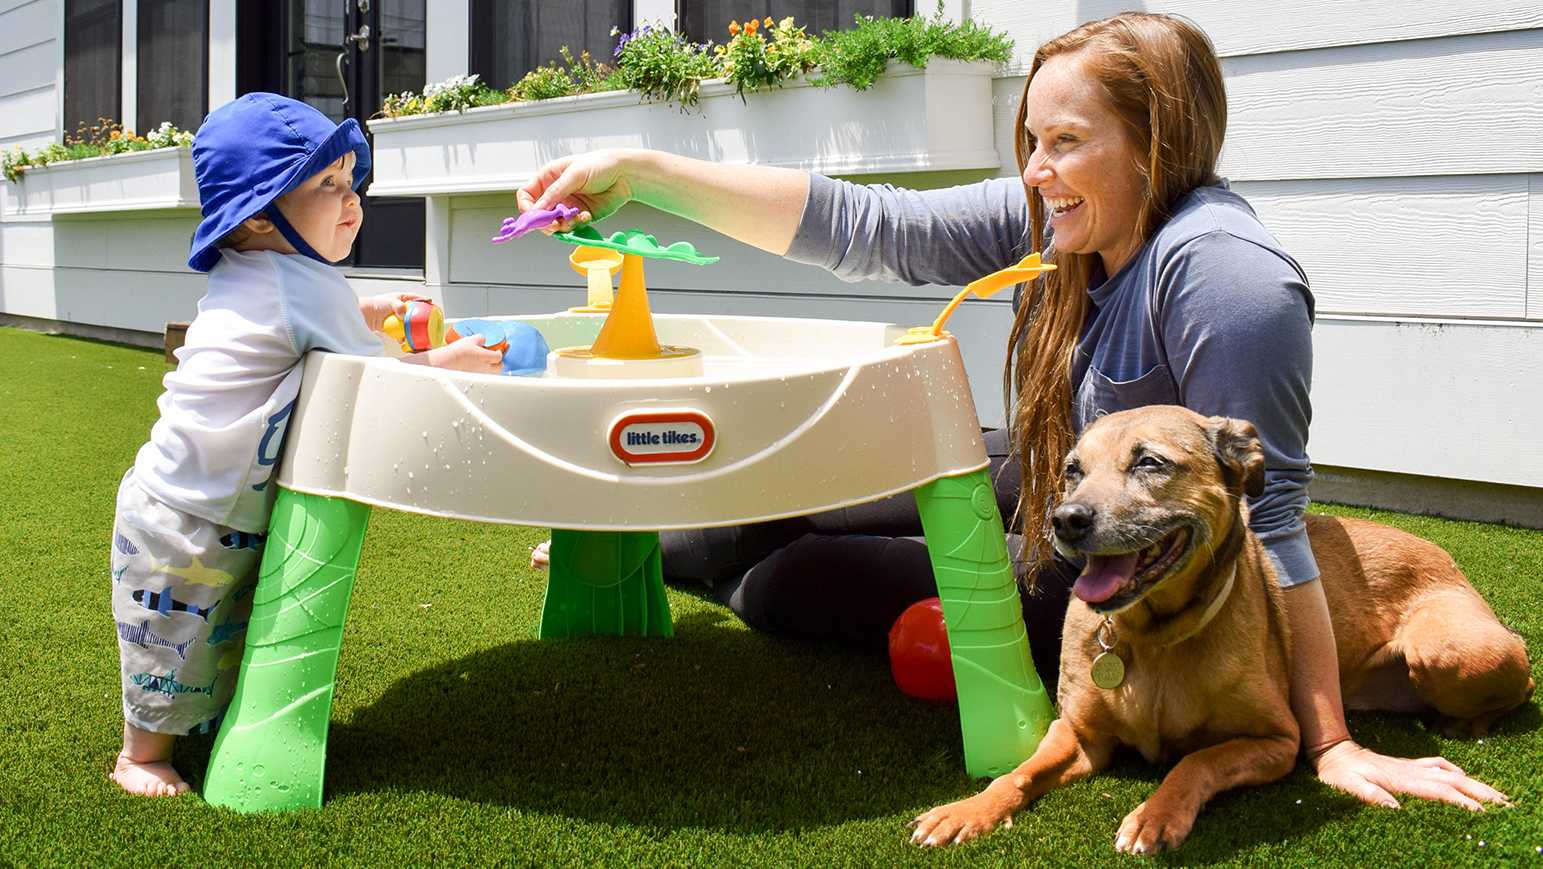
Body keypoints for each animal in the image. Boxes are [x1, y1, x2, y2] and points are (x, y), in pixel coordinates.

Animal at [907, 407, 1524, 858]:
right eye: (1073, 470)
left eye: (1150, 463)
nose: (1066, 520)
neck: (1151, 636)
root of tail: (1443, 553)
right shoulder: (1079, 736)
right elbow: (1017, 774)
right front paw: (968, 810)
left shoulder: (1276, 741)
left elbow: (1194, 762)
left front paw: (1156, 816)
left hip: (1451, 650)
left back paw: (1464, 722)